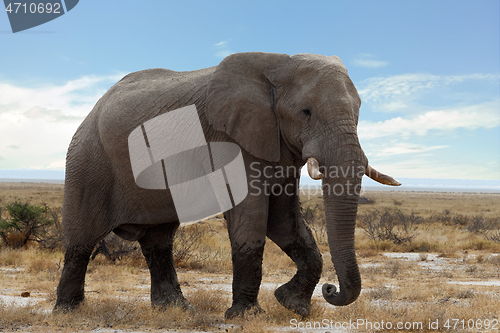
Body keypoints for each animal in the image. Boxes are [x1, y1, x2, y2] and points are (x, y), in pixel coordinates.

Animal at [53, 51, 398, 316]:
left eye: (359, 113)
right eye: (306, 112)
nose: (331, 289)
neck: (277, 65)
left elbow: (285, 222)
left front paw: (292, 305)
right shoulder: (227, 139)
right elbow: (252, 220)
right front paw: (247, 316)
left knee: (158, 241)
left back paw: (176, 309)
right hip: (89, 161)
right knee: (82, 239)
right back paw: (69, 312)